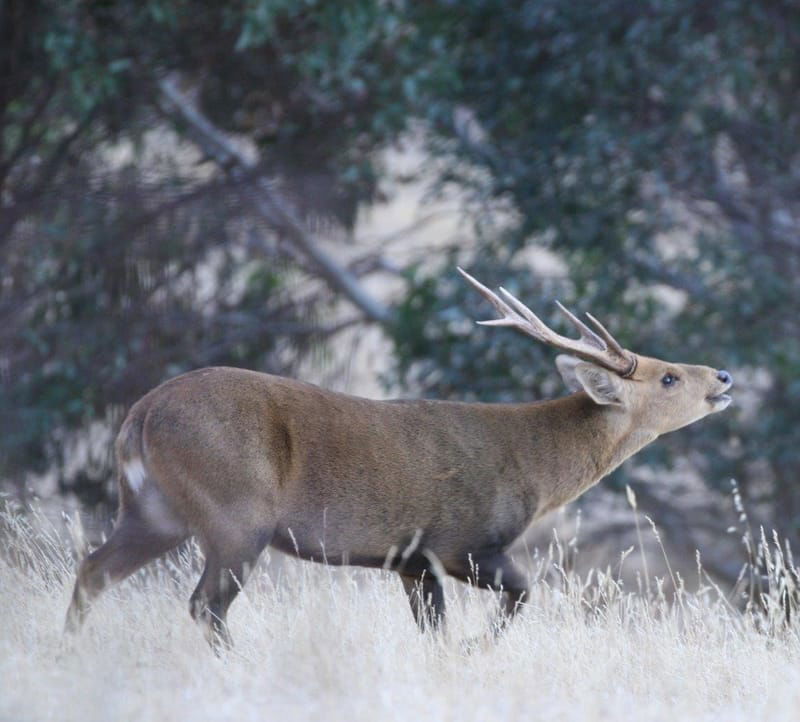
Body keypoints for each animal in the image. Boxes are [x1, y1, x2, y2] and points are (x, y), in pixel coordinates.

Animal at [65, 266, 736, 648]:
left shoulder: (410, 563)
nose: (725, 376)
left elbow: (434, 633)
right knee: (205, 605)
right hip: (235, 509)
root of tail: (139, 415)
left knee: (95, 570)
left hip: (154, 509)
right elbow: (523, 592)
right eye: (669, 377)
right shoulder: (458, 541)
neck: (535, 465)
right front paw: (478, 650)